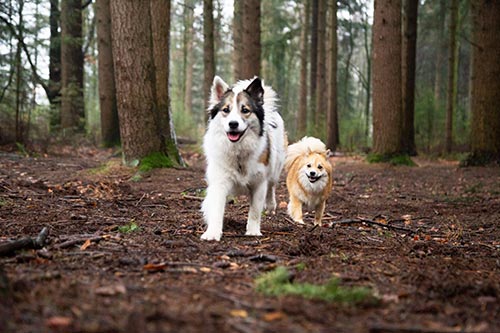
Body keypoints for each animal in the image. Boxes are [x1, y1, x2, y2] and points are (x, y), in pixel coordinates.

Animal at [199, 76, 286, 240]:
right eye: (226, 110)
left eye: (245, 110)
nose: (233, 124)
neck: (238, 151)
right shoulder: (220, 182)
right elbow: (216, 209)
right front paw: (212, 232)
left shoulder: (259, 183)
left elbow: (255, 211)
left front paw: (253, 231)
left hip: (276, 165)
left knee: (272, 184)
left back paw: (271, 204)